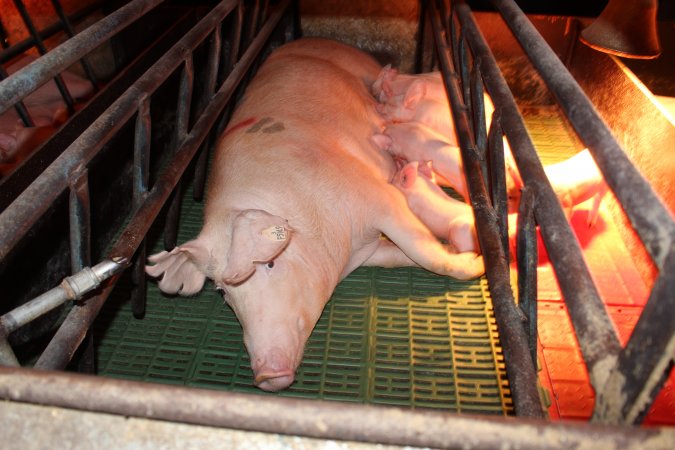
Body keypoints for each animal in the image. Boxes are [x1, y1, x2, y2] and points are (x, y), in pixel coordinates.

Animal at [145, 37, 484, 390]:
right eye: (223, 291)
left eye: (270, 264)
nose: (267, 375)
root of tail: (310, 39)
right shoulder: (365, 247)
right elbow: (398, 255)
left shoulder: (378, 195)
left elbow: (423, 250)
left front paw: (475, 261)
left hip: (367, 69)